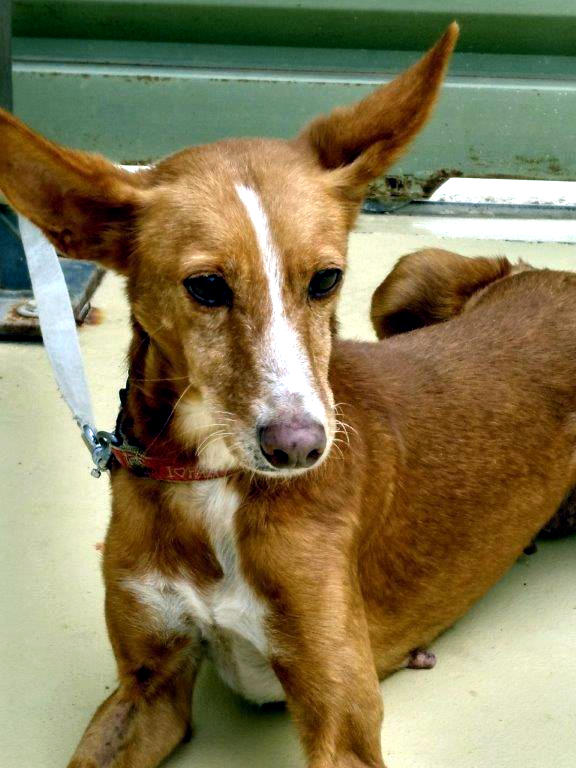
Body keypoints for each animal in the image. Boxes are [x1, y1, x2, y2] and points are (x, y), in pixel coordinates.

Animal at [3, 22, 576, 768]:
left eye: (326, 278)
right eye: (206, 286)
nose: (300, 448)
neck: (213, 482)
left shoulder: (339, 716)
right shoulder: (148, 685)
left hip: (398, 277)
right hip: (405, 279)